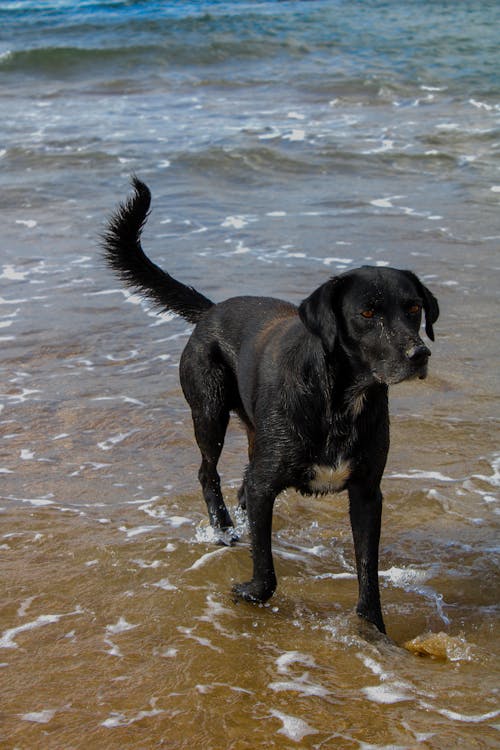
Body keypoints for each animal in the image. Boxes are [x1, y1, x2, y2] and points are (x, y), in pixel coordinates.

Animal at [103, 181, 440, 636]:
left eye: (414, 308)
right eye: (368, 312)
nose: (418, 354)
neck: (338, 399)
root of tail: (211, 310)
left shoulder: (368, 493)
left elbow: (367, 569)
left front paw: (372, 628)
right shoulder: (267, 484)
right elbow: (265, 570)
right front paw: (247, 592)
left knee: (238, 480)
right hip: (209, 412)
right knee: (208, 473)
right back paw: (225, 529)